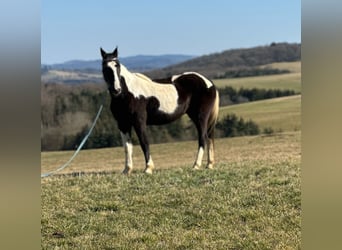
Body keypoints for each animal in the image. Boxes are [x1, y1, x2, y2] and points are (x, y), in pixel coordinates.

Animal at [100, 47, 220, 176]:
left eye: (117, 65)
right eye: (105, 67)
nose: (116, 90)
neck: (128, 93)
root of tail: (208, 82)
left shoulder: (139, 121)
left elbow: (144, 142)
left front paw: (148, 168)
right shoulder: (123, 124)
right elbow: (127, 147)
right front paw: (127, 170)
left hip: (201, 116)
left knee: (202, 138)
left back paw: (196, 165)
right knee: (209, 137)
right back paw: (209, 165)